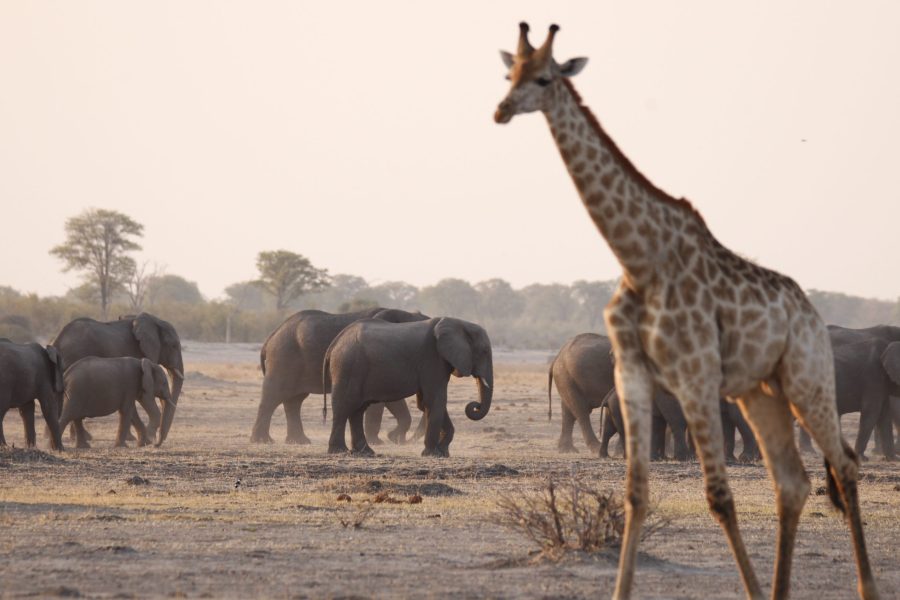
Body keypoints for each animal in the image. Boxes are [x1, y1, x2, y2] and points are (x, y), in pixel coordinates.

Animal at [50, 314, 184, 446]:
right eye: (173, 346)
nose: (158, 441)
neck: (155, 320)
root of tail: (57, 342)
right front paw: (142, 439)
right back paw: (84, 438)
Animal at [248, 310, 428, 446]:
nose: (408, 441)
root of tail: (270, 337)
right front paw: (381, 441)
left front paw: (394, 439)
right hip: (283, 357)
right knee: (273, 396)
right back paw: (263, 441)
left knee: (294, 400)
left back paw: (299, 441)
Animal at [324, 316, 492, 458]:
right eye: (484, 351)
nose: (475, 405)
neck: (460, 323)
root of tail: (334, 343)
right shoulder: (432, 359)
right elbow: (435, 400)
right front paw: (432, 454)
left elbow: (427, 402)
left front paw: (443, 452)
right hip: (348, 367)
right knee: (344, 407)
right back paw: (339, 451)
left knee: (357, 410)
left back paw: (365, 452)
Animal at [492, 22, 880, 600]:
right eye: (508, 74)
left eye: (544, 78)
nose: (501, 110)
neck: (639, 257)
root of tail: (809, 312)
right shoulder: (632, 372)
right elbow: (635, 495)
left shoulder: (695, 373)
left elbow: (719, 496)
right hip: (760, 391)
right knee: (792, 482)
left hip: (807, 378)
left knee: (844, 466)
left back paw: (865, 586)